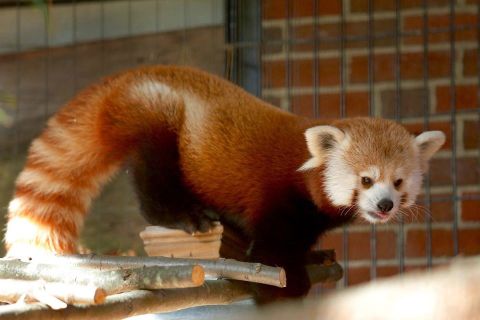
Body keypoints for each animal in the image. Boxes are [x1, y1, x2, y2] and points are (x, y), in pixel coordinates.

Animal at [4, 65, 446, 298]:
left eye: (399, 182)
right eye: (367, 180)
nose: (385, 205)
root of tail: (127, 78)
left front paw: (311, 256)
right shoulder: (277, 196)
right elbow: (268, 251)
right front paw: (288, 281)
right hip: (161, 118)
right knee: (154, 177)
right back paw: (185, 216)